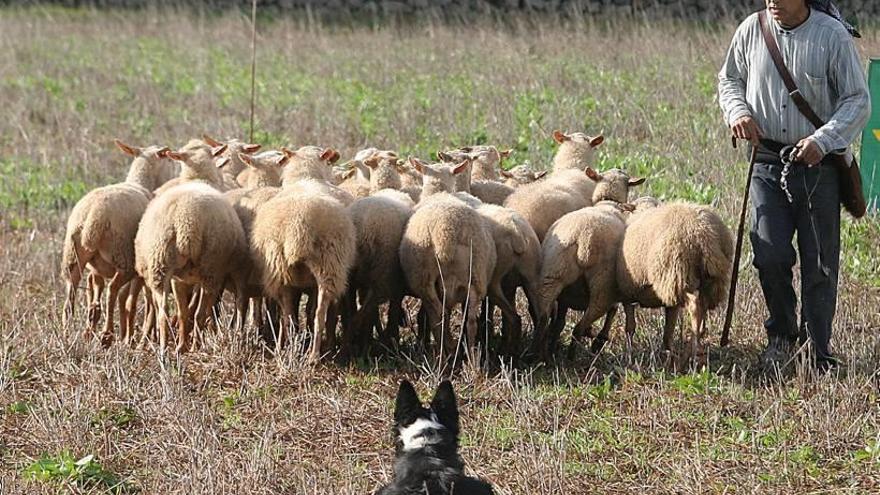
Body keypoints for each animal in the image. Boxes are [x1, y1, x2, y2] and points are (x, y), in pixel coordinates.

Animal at [61, 141, 171, 346]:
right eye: (168, 159)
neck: (141, 182)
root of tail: (92, 218)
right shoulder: (137, 270)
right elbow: (128, 299)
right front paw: (127, 335)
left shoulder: (96, 269)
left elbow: (97, 290)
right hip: (123, 258)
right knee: (112, 290)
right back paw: (107, 334)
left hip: (73, 256)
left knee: (71, 291)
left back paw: (67, 332)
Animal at [612, 202, 736, 360]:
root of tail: (703, 235)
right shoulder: (670, 297)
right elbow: (668, 329)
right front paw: (666, 351)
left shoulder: (628, 293)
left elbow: (630, 327)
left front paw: (629, 353)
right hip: (708, 281)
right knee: (704, 306)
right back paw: (697, 343)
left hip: (678, 274)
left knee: (695, 306)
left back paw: (691, 351)